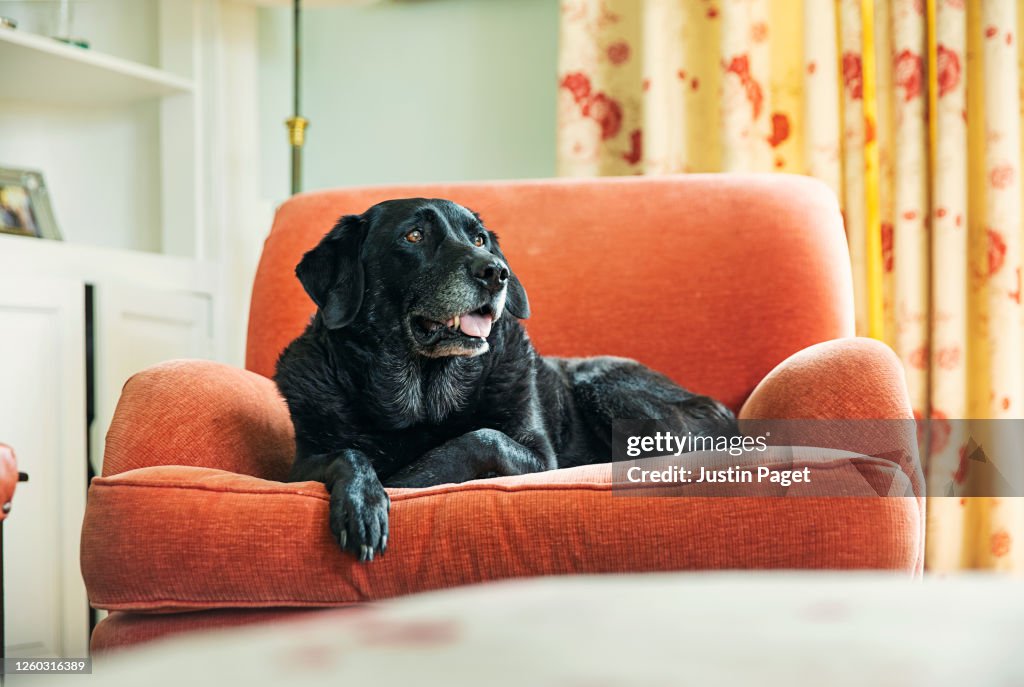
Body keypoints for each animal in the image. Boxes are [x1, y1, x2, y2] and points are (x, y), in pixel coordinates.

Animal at [272, 197, 737, 556]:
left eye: (479, 239)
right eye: (414, 236)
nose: (496, 271)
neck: (422, 399)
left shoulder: (540, 459)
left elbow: (481, 438)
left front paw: (401, 482)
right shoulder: (297, 467)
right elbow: (347, 454)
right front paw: (363, 500)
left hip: (605, 386)